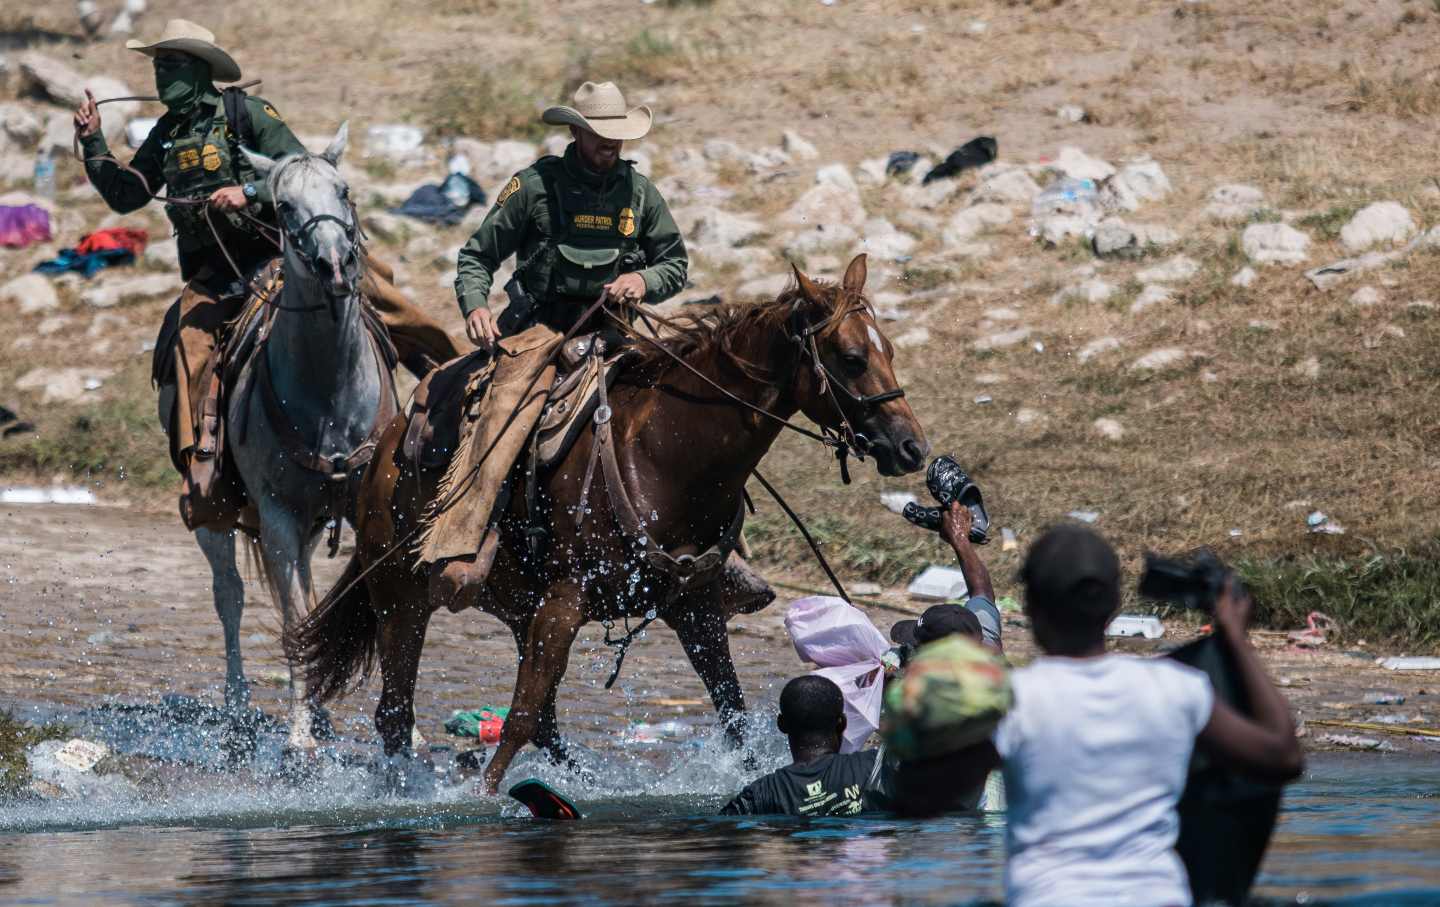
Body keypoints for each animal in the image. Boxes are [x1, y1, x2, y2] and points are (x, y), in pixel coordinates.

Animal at [191, 125, 397, 754]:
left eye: (344, 190)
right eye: (283, 206)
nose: (334, 264)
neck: (329, 393)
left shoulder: (366, 507)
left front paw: (404, 732)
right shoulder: (278, 517)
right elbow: (290, 619)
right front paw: (299, 735)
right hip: (216, 514)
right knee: (230, 595)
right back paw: (240, 709)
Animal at [289, 251, 933, 794]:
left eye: (890, 351)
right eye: (852, 358)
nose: (912, 448)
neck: (667, 454)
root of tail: (387, 445)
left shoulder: (694, 607)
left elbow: (732, 713)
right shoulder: (566, 601)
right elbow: (519, 716)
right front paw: (483, 798)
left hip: (516, 605)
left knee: (541, 721)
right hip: (400, 595)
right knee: (397, 712)